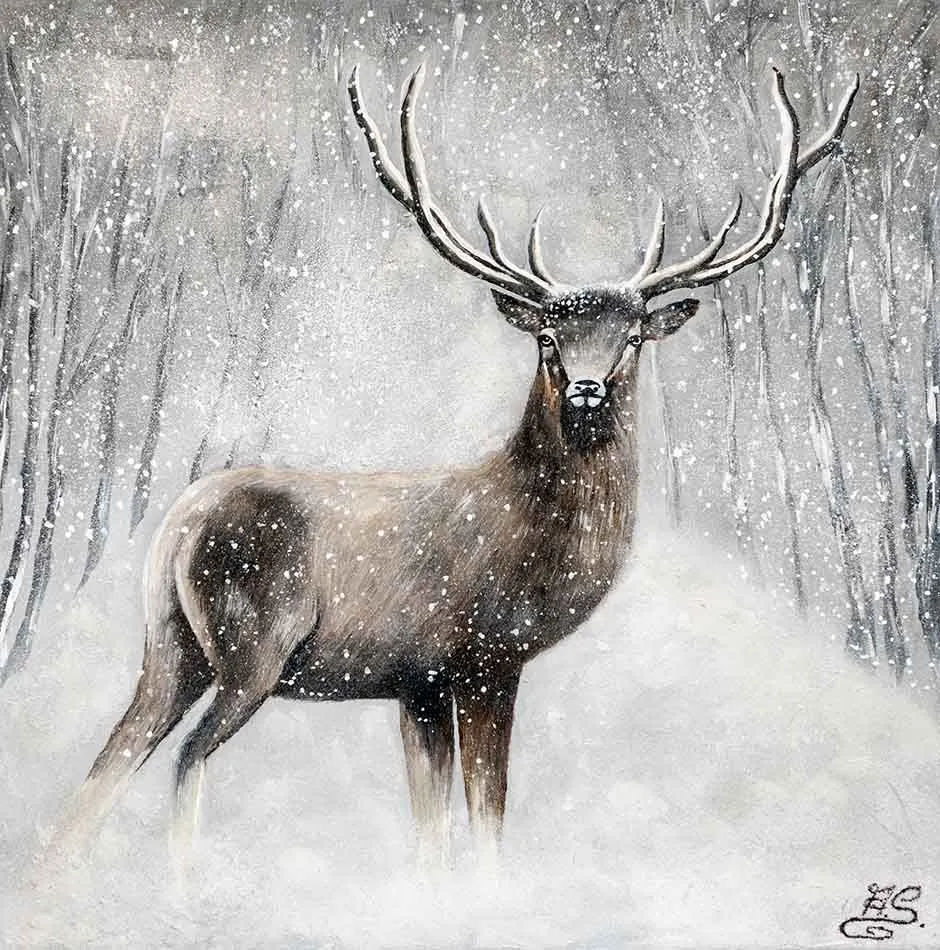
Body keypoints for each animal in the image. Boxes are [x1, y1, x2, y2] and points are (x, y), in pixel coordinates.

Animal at [60, 65, 857, 863]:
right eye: (548, 338)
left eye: (631, 337)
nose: (587, 387)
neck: (533, 543)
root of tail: (174, 527)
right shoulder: (483, 657)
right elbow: (488, 817)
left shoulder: (417, 682)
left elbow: (432, 828)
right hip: (251, 644)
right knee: (186, 755)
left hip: (170, 647)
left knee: (106, 765)